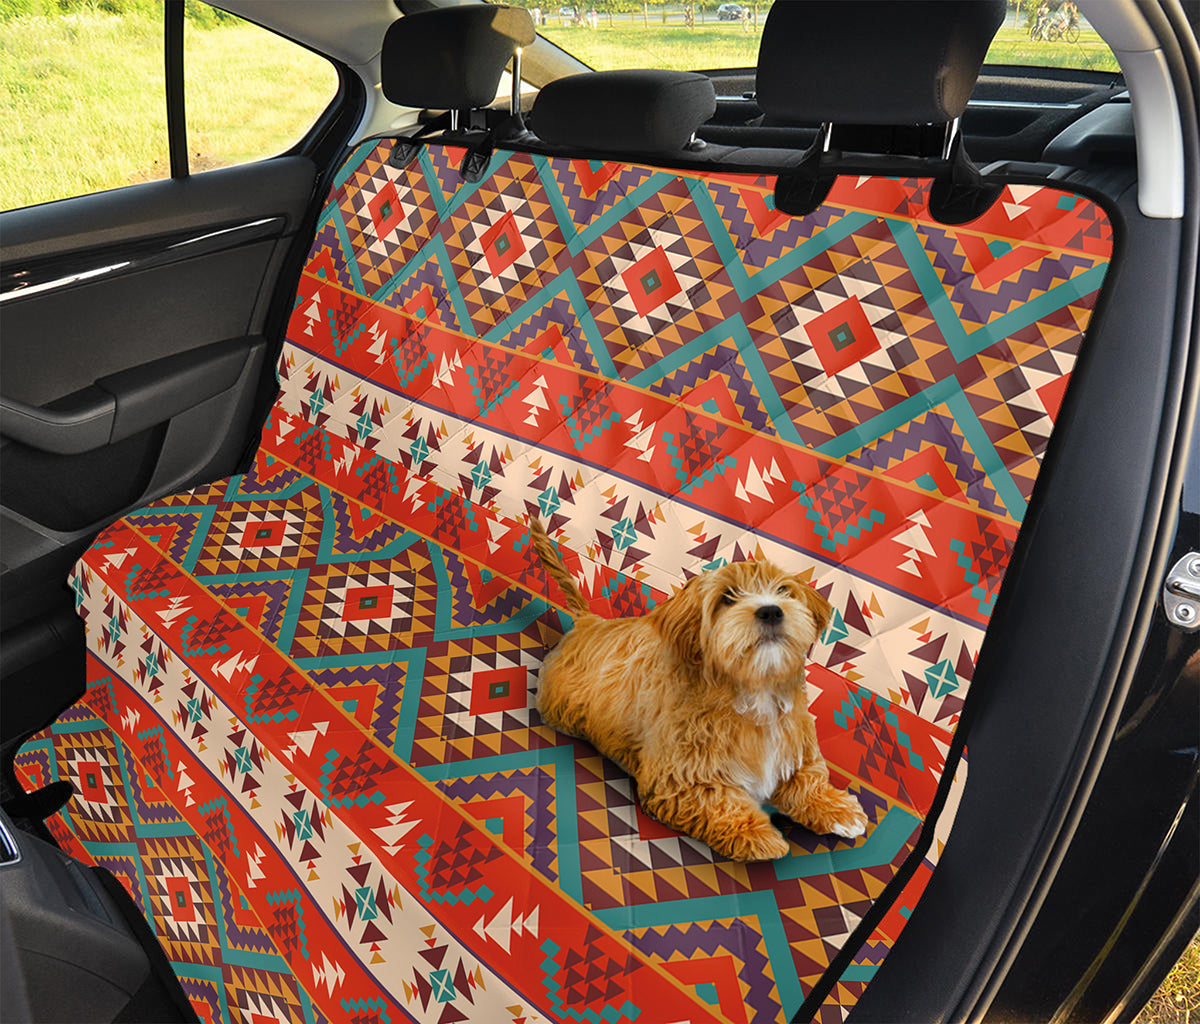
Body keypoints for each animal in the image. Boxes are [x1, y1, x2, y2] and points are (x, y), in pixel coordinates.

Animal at [530, 518, 868, 864]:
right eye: (728, 597)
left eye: (784, 590)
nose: (772, 611)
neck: (753, 693)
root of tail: (590, 623)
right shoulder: (679, 778)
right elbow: (718, 800)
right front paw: (758, 835)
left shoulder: (794, 747)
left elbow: (808, 779)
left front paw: (838, 810)